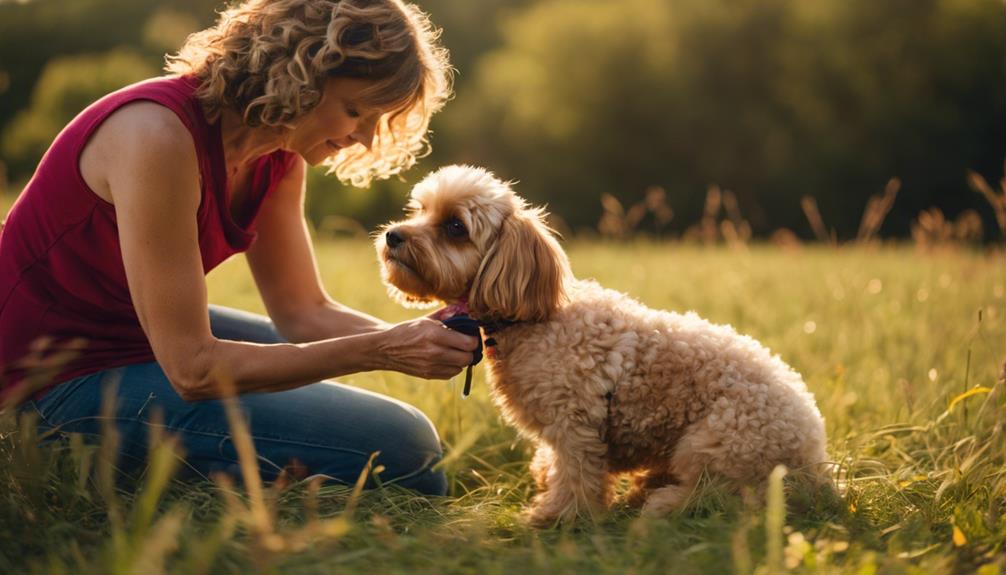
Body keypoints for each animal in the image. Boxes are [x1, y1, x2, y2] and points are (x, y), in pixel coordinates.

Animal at [374, 163, 828, 522]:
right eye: (419, 210)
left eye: (455, 227)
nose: (393, 236)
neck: (531, 318)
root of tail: (818, 465)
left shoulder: (574, 422)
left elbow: (575, 475)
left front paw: (558, 515)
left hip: (716, 440)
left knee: (729, 497)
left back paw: (664, 502)